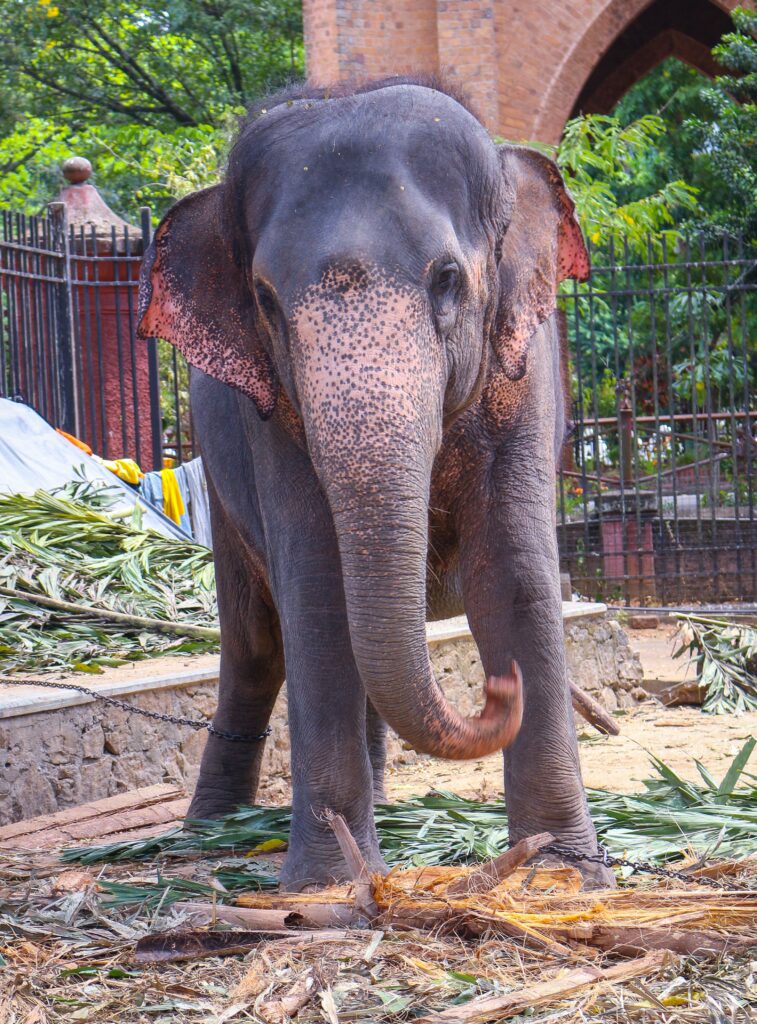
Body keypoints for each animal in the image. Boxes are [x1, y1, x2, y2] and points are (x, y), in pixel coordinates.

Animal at [138, 76, 612, 891]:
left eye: (448, 280)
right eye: (265, 299)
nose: (497, 689)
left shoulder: (522, 381)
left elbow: (513, 575)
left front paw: (561, 873)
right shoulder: (274, 412)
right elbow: (317, 587)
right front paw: (328, 884)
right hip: (221, 492)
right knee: (255, 646)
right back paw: (210, 833)